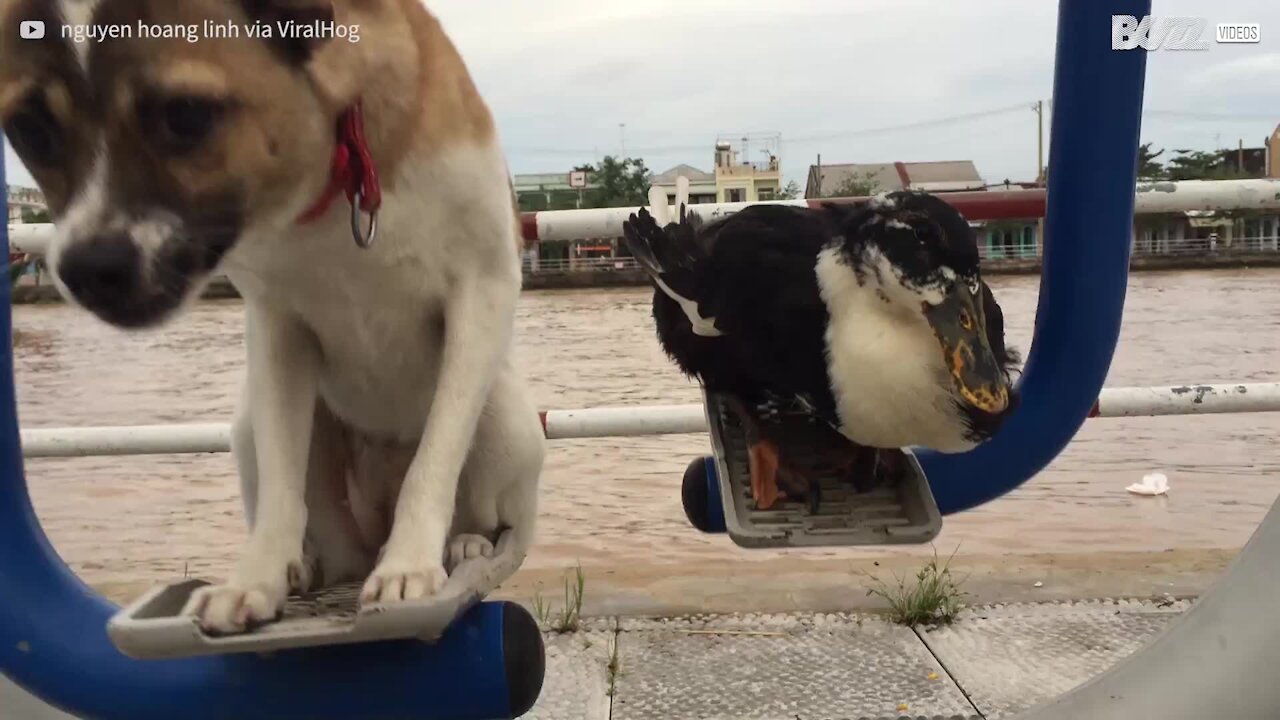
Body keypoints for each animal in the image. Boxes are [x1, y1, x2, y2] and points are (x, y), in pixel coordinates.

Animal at [0, 0, 542, 630]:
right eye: (29, 130)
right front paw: (254, 580)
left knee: (475, 495)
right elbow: (284, 480)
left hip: (507, 419)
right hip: (251, 431)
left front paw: (409, 564)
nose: (87, 269)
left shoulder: (482, 291)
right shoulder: (277, 325)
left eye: (186, 115)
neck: (339, 175)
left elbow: (434, 460)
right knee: (322, 529)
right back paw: (306, 566)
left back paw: (462, 543)